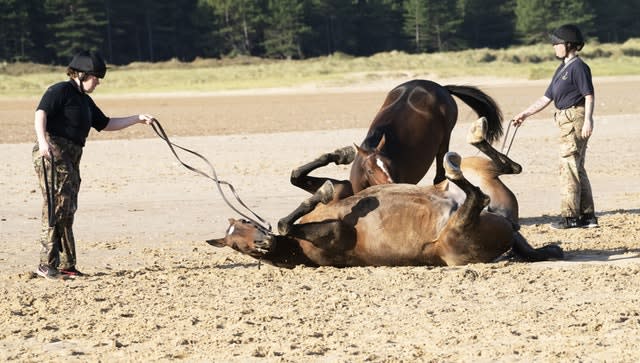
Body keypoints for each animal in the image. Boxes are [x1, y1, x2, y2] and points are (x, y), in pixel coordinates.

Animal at [208, 118, 564, 268]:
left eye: (245, 223)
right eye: (238, 247)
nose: (263, 244)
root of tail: (511, 227)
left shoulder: (344, 192)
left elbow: (302, 178)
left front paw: (338, 158)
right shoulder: (336, 233)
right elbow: (286, 222)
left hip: (484, 176)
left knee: (504, 168)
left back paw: (474, 136)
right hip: (460, 230)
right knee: (478, 195)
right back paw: (457, 163)